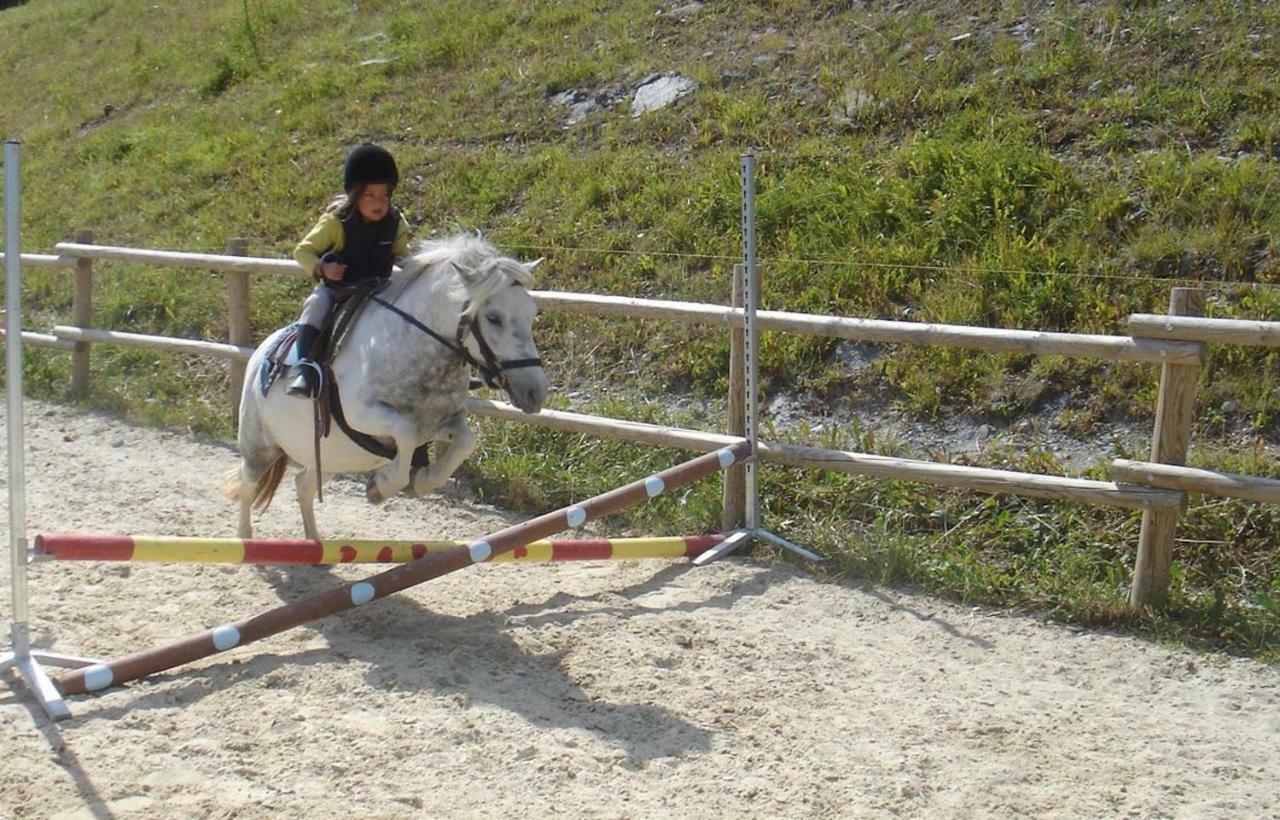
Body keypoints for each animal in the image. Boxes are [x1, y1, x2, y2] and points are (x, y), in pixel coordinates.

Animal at [229, 231, 545, 537]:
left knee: (303, 484)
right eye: (493, 318)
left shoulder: (442, 423)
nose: (535, 393)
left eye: (532, 314)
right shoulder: (363, 414)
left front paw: (421, 481)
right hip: (260, 446)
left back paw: (315, 541)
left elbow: (465, 441)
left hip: (333, 456)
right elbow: (404, 432)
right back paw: (246, 538)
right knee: (248, 483)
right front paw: (381, 486)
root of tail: (260, 352)